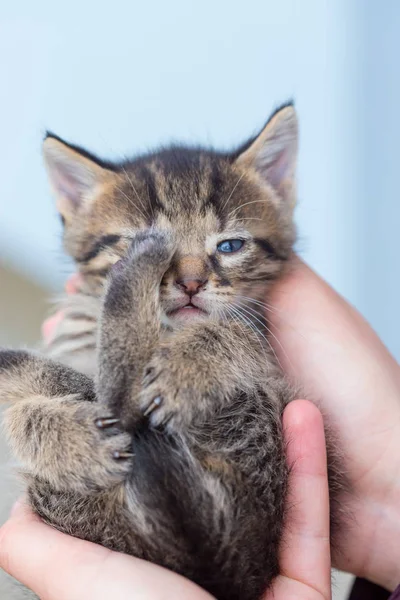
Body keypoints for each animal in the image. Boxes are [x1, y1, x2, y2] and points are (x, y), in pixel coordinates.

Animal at [0, 105, 324, 596]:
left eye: (230, 245)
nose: (190, 283)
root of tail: (229, 563)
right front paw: (72, 429)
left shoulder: (266, 351)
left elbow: (236, 332)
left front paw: (182, 372)